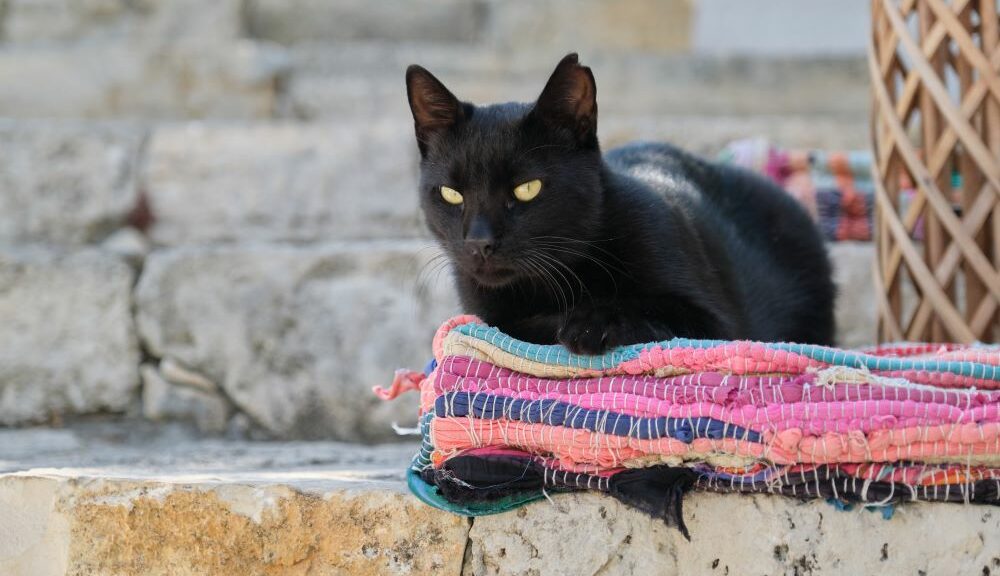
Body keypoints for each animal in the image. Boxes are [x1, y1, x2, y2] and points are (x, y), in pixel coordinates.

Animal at [406, 54, 836, 354]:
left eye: (527, 189)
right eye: (451, 193)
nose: (479, 242)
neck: (559, 283)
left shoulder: (720, 326)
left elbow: (649, 307)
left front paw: (592, 323)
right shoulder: (490, 318)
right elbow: (522, 324)